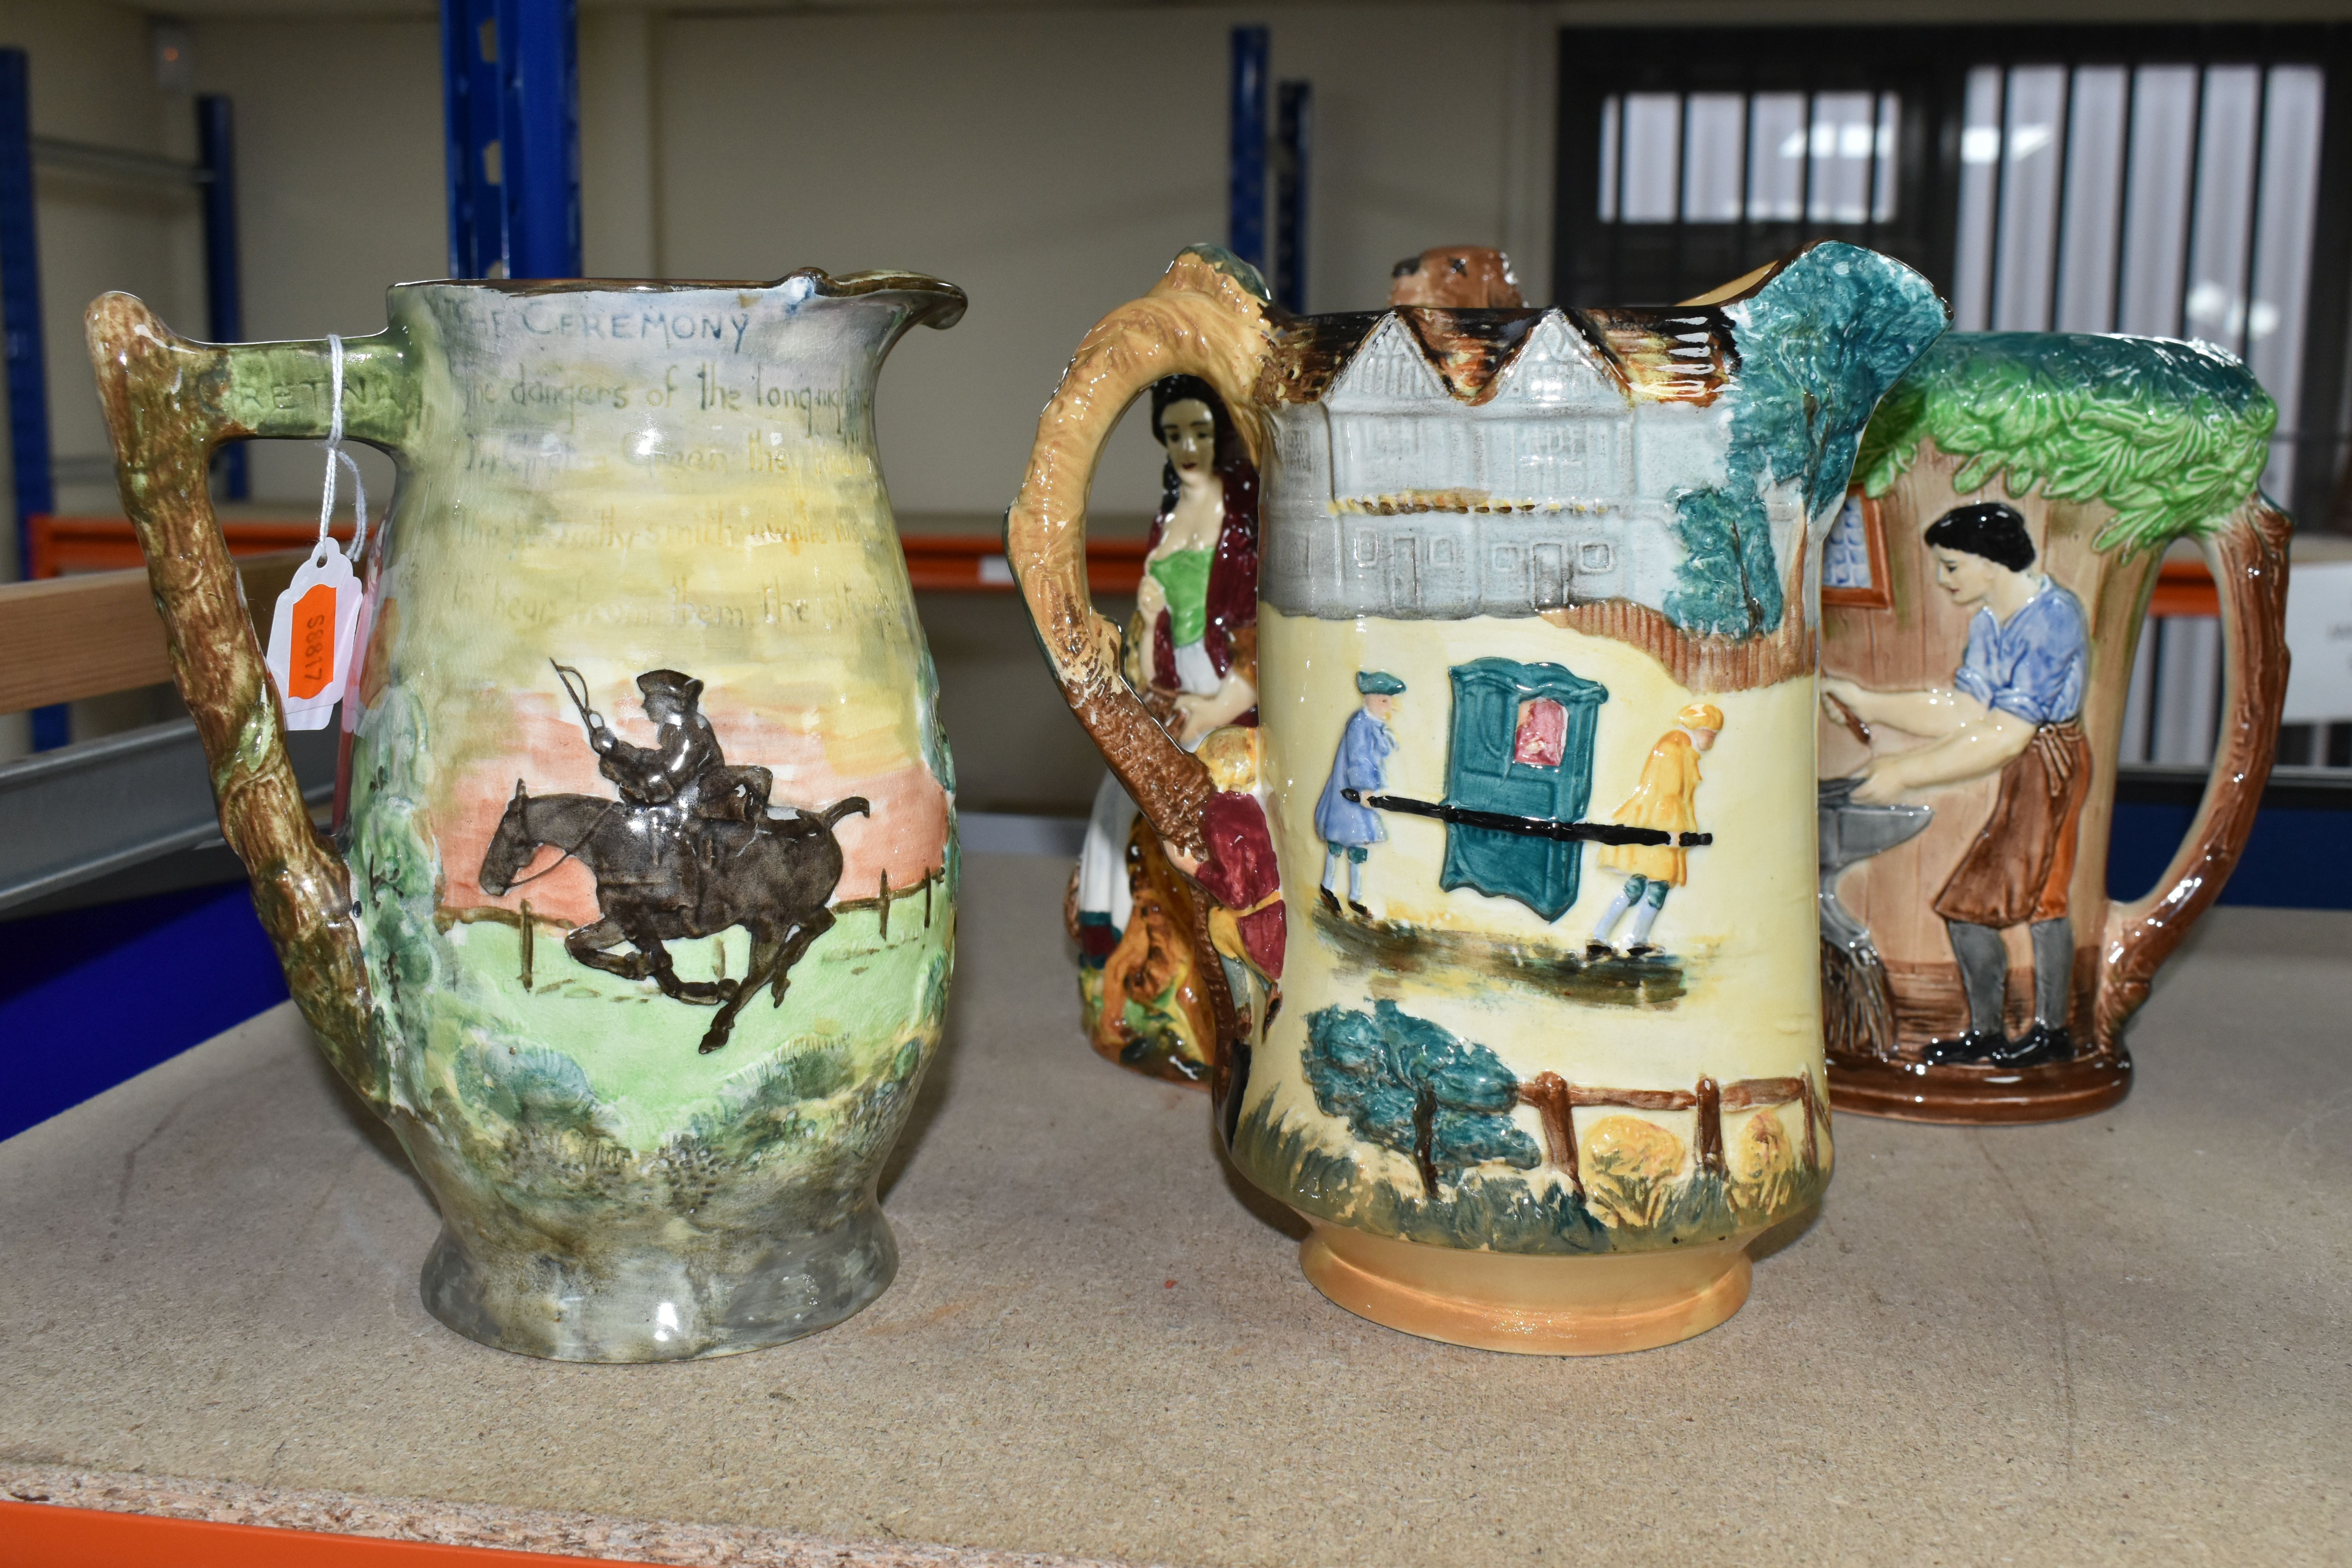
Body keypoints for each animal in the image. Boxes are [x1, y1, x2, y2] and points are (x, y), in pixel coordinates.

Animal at [477, 785, 875, 1053]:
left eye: (504, 831)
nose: (487, 882)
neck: (618, 843)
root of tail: (823, 821)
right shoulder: (621, 921)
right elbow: (580, 945)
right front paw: (647, 971)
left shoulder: (640, 918)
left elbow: (661, 965)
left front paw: (704, 990)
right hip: (796, 914)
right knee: (818, 926)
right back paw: (778, 982)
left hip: (769, 923)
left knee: (759, 972)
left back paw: (719, 1028)